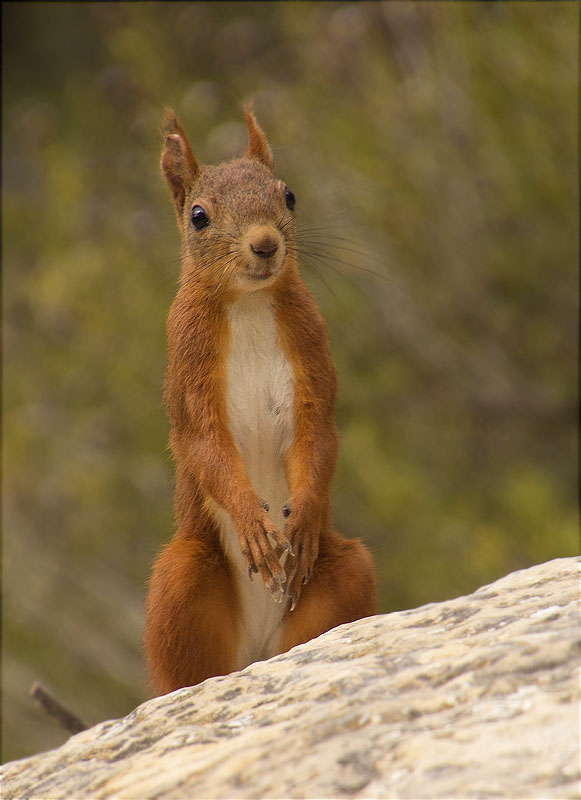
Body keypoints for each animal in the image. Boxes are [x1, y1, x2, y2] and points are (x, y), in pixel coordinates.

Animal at [145, 106, 378, 692]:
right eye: (198, 217)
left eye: (289, 195)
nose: (266, 243)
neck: (248, 304)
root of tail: (254, 653)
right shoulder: (187, 367)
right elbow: (204, 444)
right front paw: (253, 521)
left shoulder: (311, 355)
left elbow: (317, 436)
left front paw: (303, 516)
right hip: (182, 580)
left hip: (344, 575)